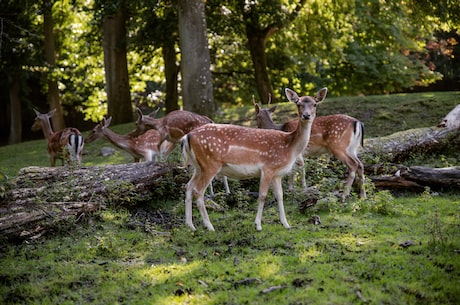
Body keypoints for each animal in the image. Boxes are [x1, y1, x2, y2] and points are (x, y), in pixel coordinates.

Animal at [180, 86, 328, 230]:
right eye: (298, 104)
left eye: (314, 104)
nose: (306, 115)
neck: (289, 147)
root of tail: (187, 137)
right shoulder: (268, 168)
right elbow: (262, 195)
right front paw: (258, 225)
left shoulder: (277, 174)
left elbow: (280, 196)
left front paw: (286, 224)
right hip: (210, 164)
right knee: (198, 191)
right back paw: (209, 226)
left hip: (198, 166)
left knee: (188, 187)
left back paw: (190, 226)